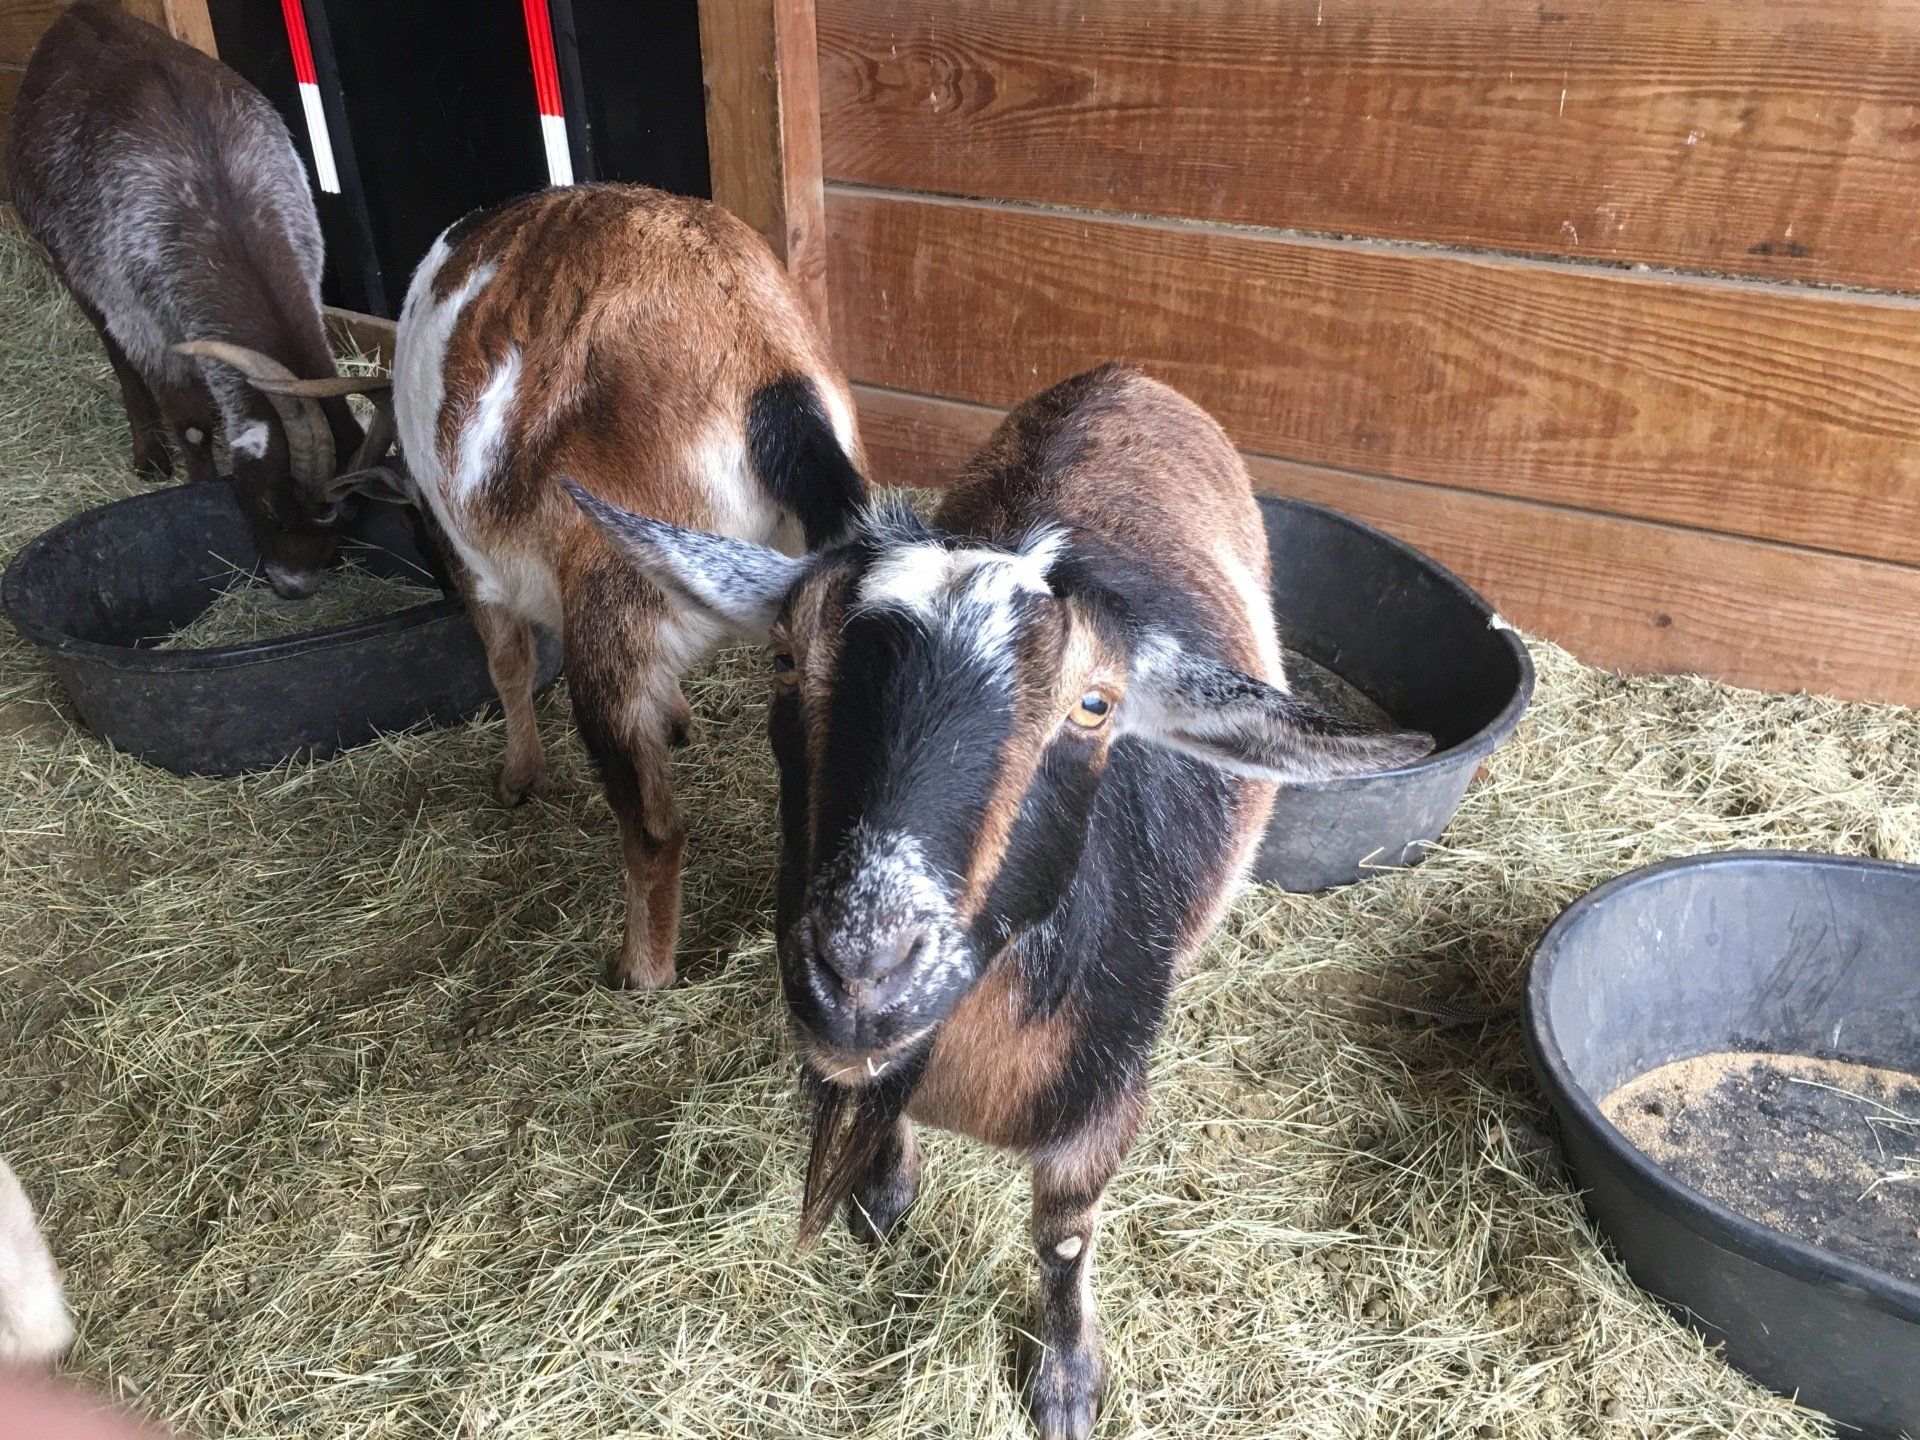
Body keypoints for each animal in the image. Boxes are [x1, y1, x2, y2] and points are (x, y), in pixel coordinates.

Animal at [6, 2, 391, 599]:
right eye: (274, 509)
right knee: (113, 351)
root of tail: (76, 16)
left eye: (346, 521)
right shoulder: (137, 308)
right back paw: (148, 452)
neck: (220, 204)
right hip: (65, 256)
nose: (294, 588)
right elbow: (187, 423)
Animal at [387, 183, 865, 989]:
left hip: (615, 592)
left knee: (653, 827)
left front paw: (519, 777)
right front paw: (675, 718)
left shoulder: (472, 563)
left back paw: (639, 969)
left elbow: (507, 664)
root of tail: (767, 367)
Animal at [565, 364, 1434, 1438]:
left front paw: (1066, 1383)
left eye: (1095, 705)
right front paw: (886, 1198)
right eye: (783, 656)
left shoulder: (1103, 1103)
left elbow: (1062, 1237)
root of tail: (1127, 375)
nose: (863, 973)